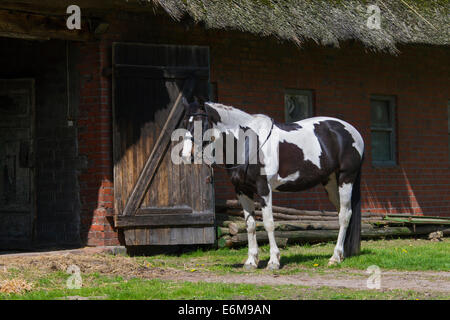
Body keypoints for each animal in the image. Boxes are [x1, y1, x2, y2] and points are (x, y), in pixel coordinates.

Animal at [181, 99, 364, 268]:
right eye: (184, 123)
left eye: (201, 122)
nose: (186, 155)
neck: (246, 143)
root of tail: (353, 131)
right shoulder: (242, 190)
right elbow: (250, 224)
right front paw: (251, 261)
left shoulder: (264, 189)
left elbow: (268, 223)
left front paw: (274, 261)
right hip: (331, 183)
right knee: (342, 212)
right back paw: (342, 255)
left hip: (346, 179)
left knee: (344, 216)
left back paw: (335, 257)